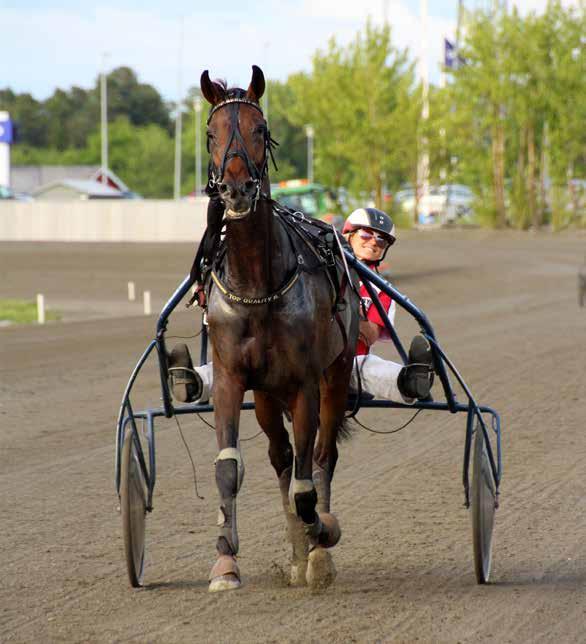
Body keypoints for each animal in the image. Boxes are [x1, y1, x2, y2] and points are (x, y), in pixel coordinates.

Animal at [198, 66, 358, 592]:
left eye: (260, 129)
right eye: (211, 134)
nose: (236, 191)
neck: (259, 285)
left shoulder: (305, 381)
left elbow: (308, 487)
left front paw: (321, 538)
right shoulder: (232, 378)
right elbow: (229, 469)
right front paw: (225, 562)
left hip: (335, 374)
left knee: (321, 457)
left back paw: (315, 549)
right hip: (267, 396)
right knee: (281, 457)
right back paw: (296, 552)